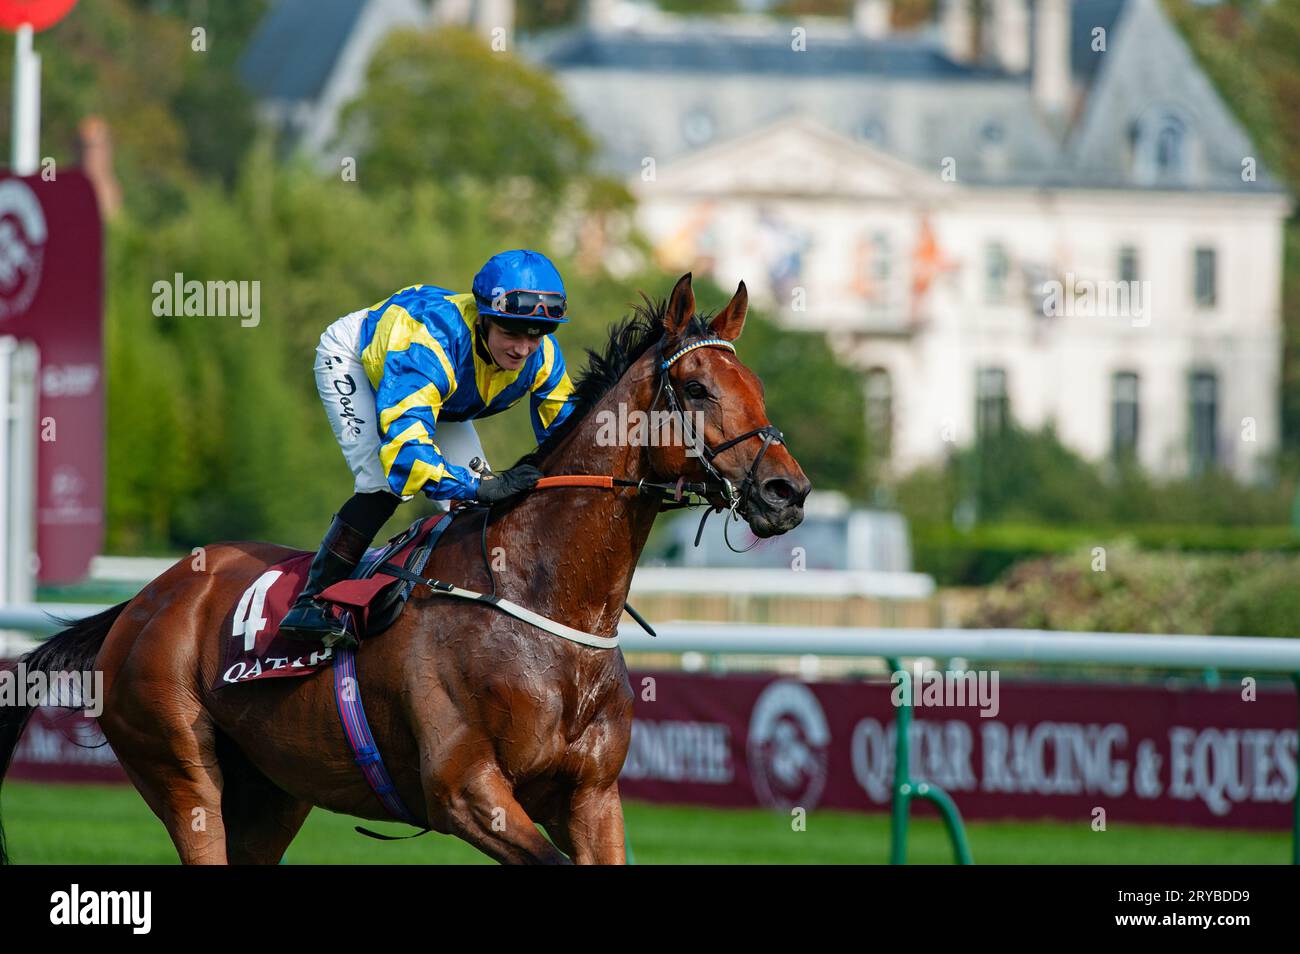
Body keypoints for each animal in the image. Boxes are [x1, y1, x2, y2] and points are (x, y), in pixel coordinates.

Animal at [0, 274, 806, 868]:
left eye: (759, 385)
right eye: (696, 388)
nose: (786, 491)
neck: (547, 605)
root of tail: (143, 600)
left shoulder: (592, 797)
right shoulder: (465, 789)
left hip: (273, 792)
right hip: (181, 769)